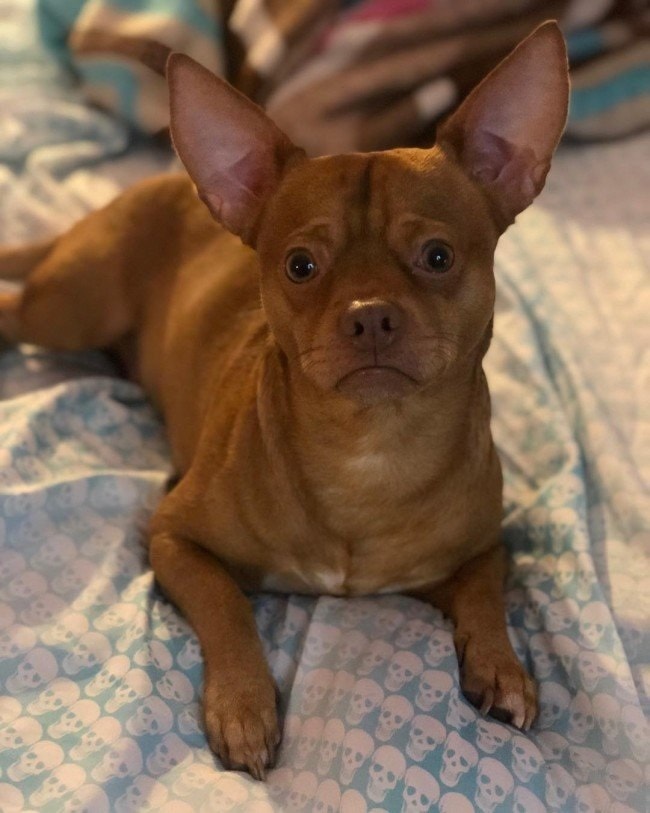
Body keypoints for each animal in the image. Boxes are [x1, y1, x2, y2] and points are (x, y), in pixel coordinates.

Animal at [0, 22, 568, 776]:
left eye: (438, 257)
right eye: (301, 266)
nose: (370, 315)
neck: (368, 453)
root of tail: (151, 184)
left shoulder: (479, 549)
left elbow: (486, 588)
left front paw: (501, 665)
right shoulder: (173, 539)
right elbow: (227, 606)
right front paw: (243, 705)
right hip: (68, 311)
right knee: (13, 309)